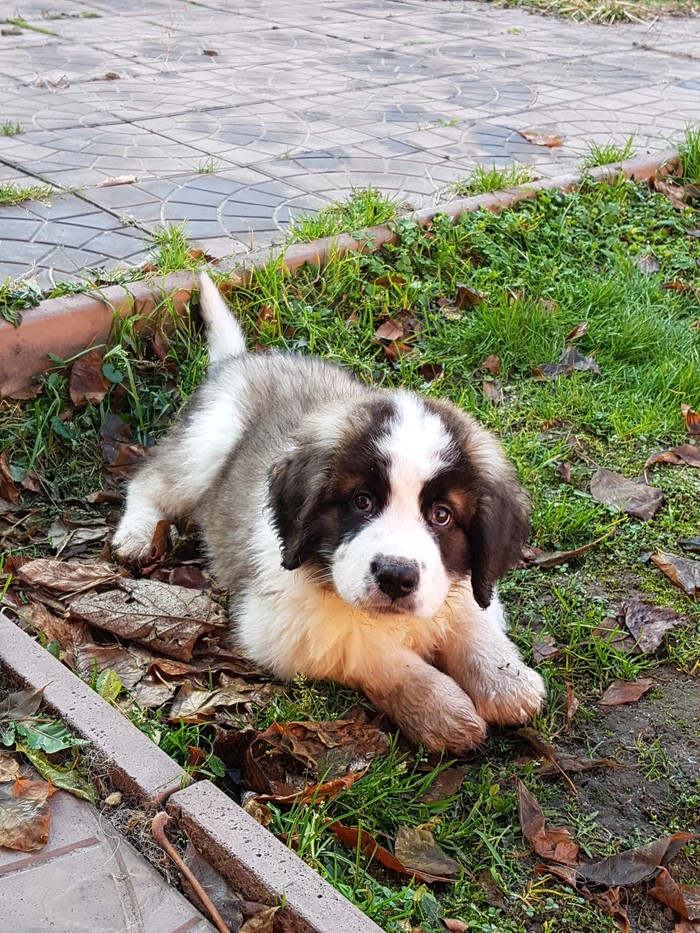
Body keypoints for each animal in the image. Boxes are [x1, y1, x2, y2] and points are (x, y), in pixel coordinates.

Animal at [112, 274, 544, 752]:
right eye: (362, 502)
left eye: (442, 516)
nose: (396, 577)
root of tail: (241, 360)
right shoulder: (277, 628)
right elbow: (371, 653)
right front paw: (439, 706)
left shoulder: (463, 585)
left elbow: (473, 618)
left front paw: (506, 679)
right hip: (207, 442)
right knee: (149, 482)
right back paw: (137, 534)